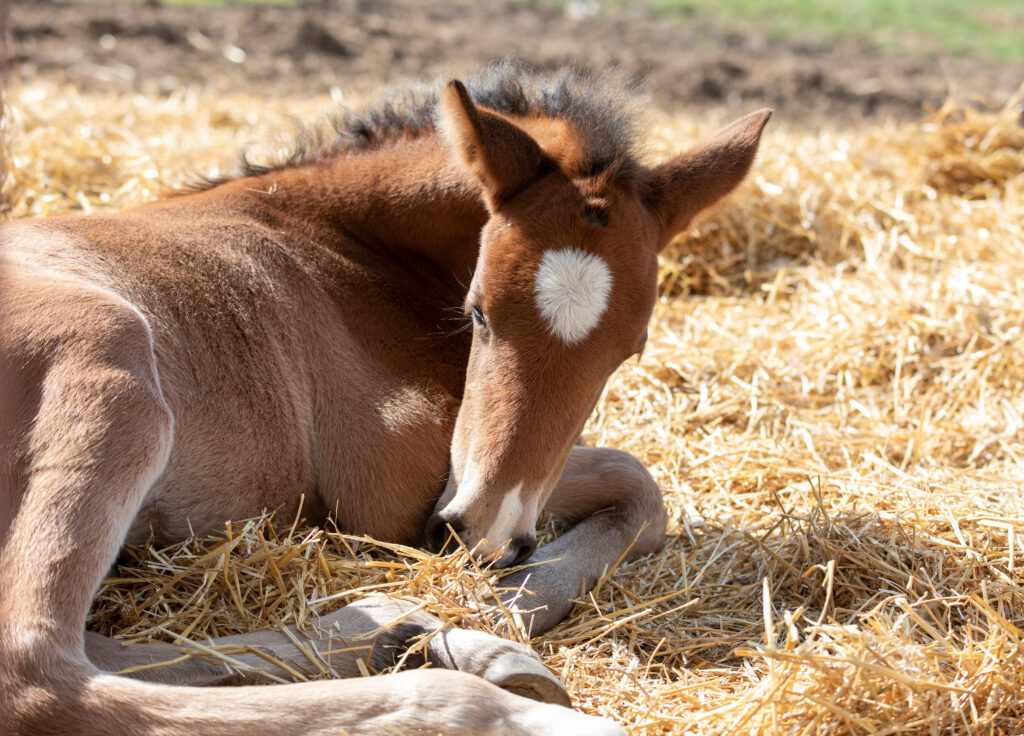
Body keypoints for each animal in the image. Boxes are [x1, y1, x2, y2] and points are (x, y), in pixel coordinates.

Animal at [0, 63, 769, 735]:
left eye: (631, 349)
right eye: (478, 311)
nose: (484, 531)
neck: (348, 244)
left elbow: (635, 491)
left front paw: (469, 620)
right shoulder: (391, 484)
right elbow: (638, 482)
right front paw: (488, 613)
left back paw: (406, 635)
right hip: (109, 355)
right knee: (35, 674)